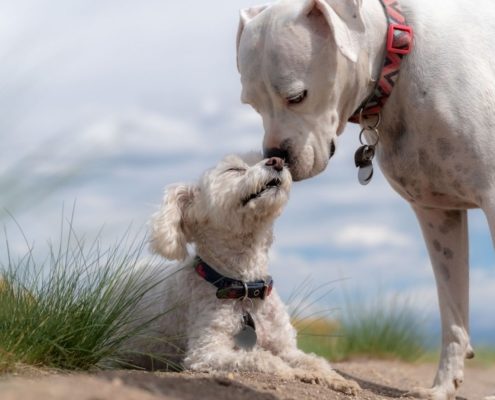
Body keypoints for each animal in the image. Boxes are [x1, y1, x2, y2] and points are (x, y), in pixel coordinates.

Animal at [134, 154, 360, 396]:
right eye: (234, 169)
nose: (277, 160)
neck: (246, 288)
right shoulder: (206, 352)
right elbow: (263, 359)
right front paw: (297, 373)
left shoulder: (286, 347)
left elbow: (314, 361)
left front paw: (337, 379)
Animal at [236, 0, 495, 400]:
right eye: (251, 104)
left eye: (297, 96)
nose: (276, 156)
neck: (398, 58)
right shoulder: (438, 214)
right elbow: (452, 309)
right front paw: (441, 387)